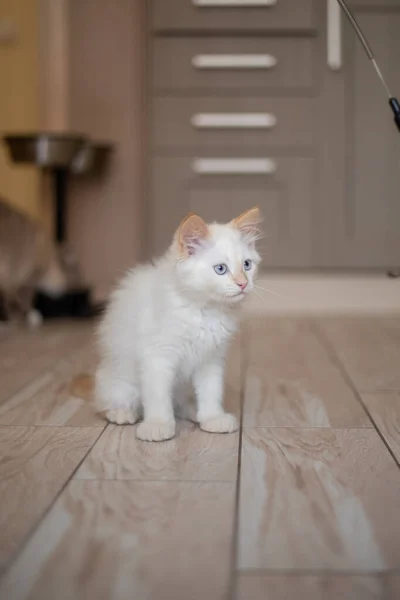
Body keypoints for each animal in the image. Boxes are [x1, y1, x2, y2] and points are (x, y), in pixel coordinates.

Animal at [95, 206, 260, 440]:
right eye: (220, 269)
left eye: (247, 265)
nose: (243, 284)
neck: (204, 311)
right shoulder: (157, 356)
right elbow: (158, 396)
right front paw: (158, 424)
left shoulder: (211, 359)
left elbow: (211, 391)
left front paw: (212, 417)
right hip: (121, 378)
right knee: (109, 400)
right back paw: (122, 412)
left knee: (180, 403)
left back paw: (193, 411)